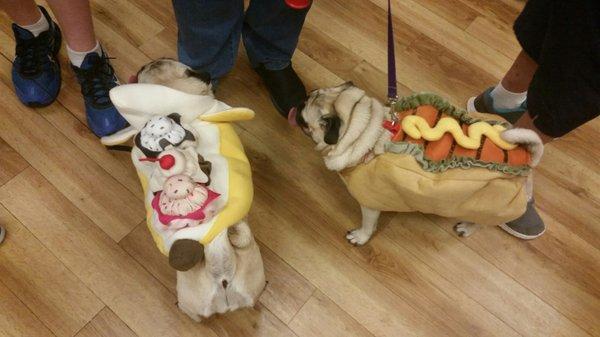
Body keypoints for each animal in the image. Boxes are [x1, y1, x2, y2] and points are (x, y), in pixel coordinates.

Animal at [290, 81, 544, 244]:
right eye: (310, 94)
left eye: (304, 117)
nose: (299, 100)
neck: (368, 132)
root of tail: (527, 158)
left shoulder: (370, 201)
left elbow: (368, 224)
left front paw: (360, 237)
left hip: (488, 207)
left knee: (480, 223)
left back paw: (466, 227)